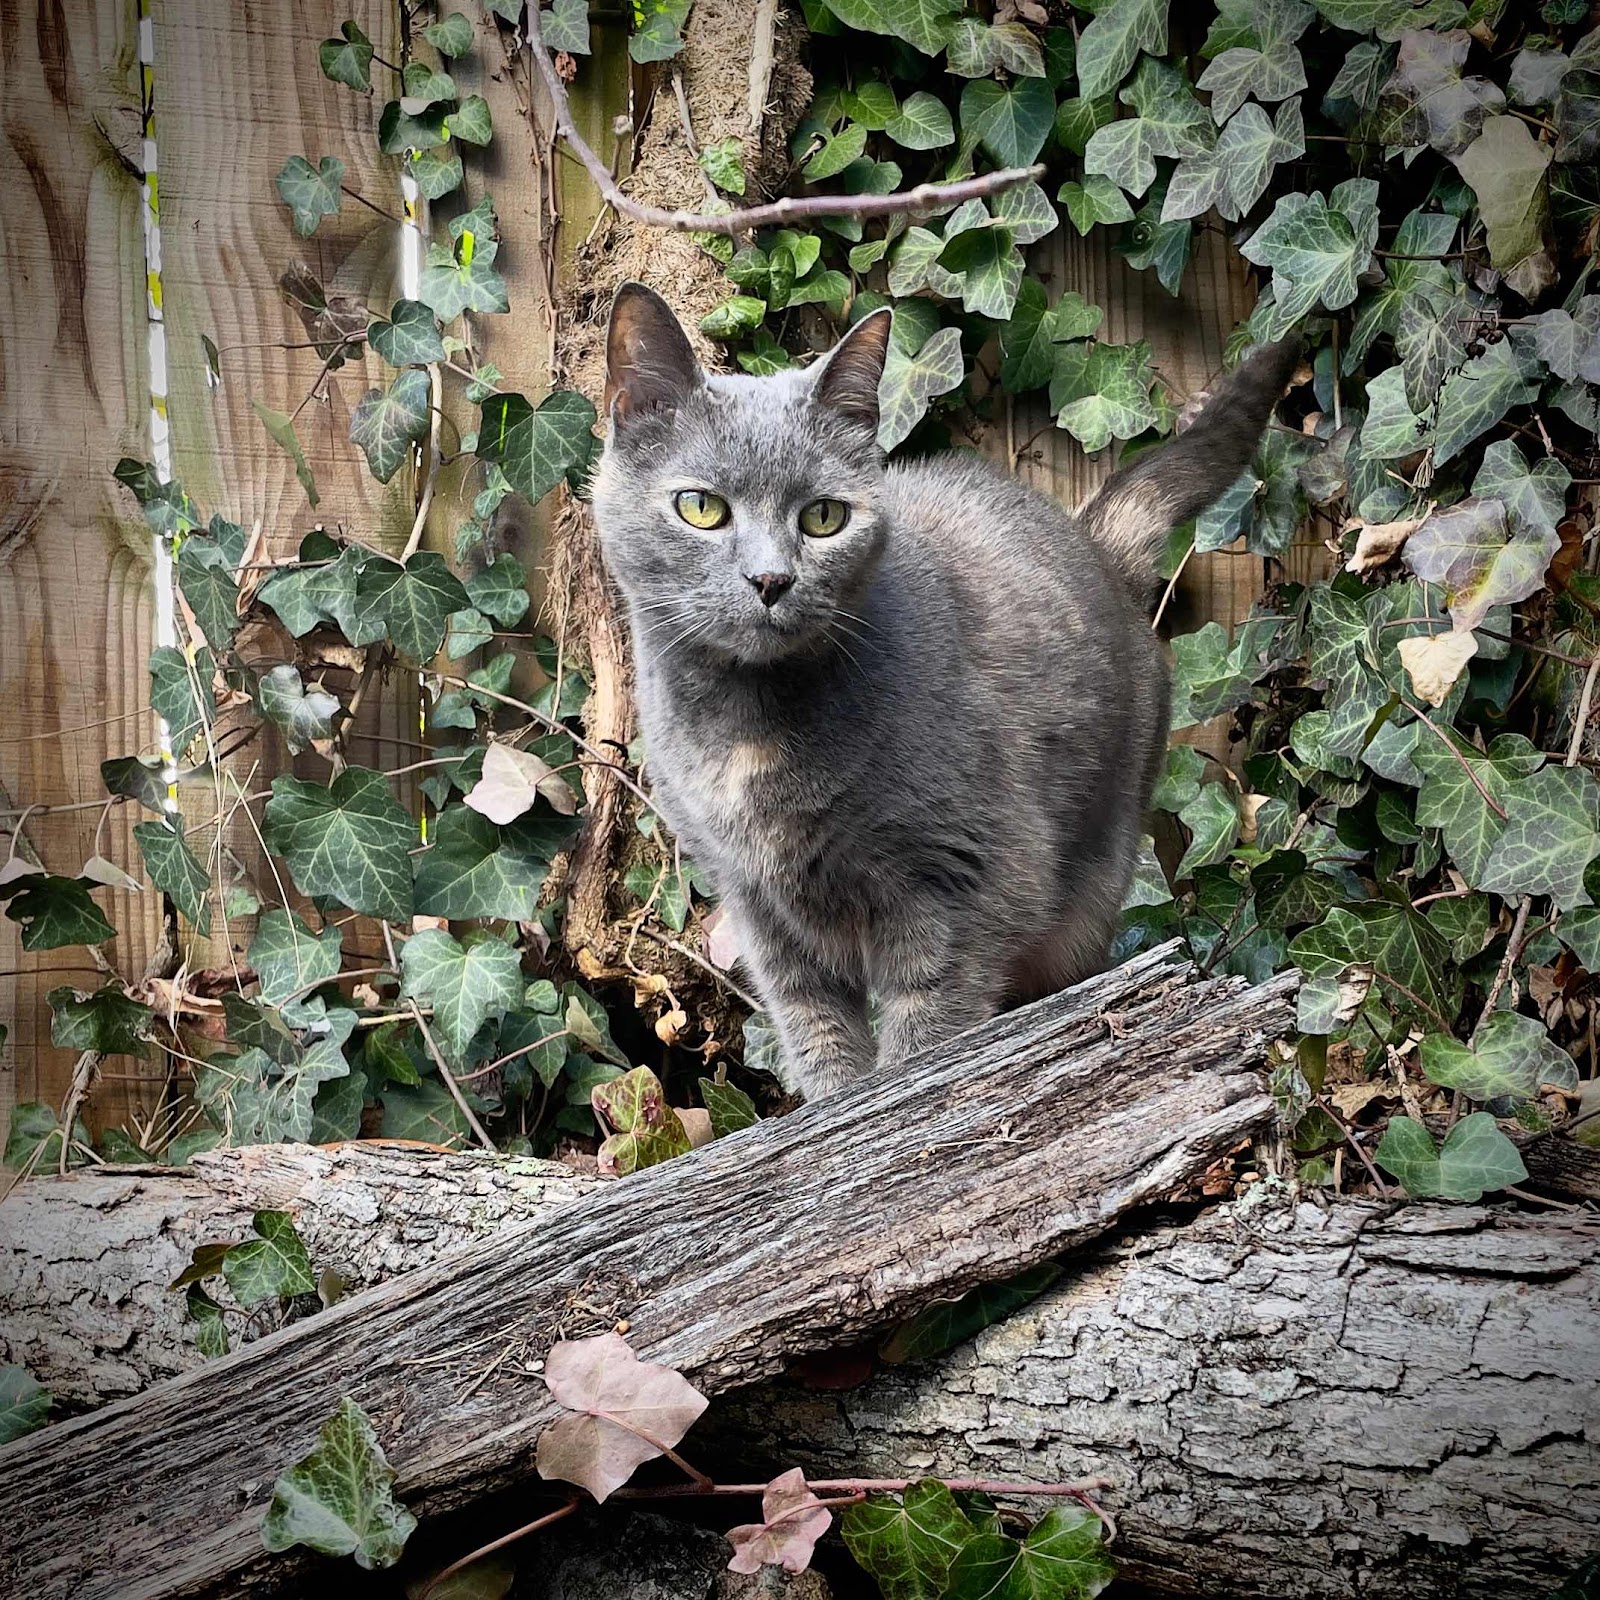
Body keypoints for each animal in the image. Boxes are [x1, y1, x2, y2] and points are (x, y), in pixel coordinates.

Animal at [591, 281, 1298, 1098]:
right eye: (701, 507)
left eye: (823, 517)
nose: (771, 579)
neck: (747, 726)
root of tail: (1092, 541)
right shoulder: (759, 908)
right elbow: (817, 1034)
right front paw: (836, 1107)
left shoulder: (966, 881)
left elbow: (927, 1036)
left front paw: (907, 1099)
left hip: (1088, 885)